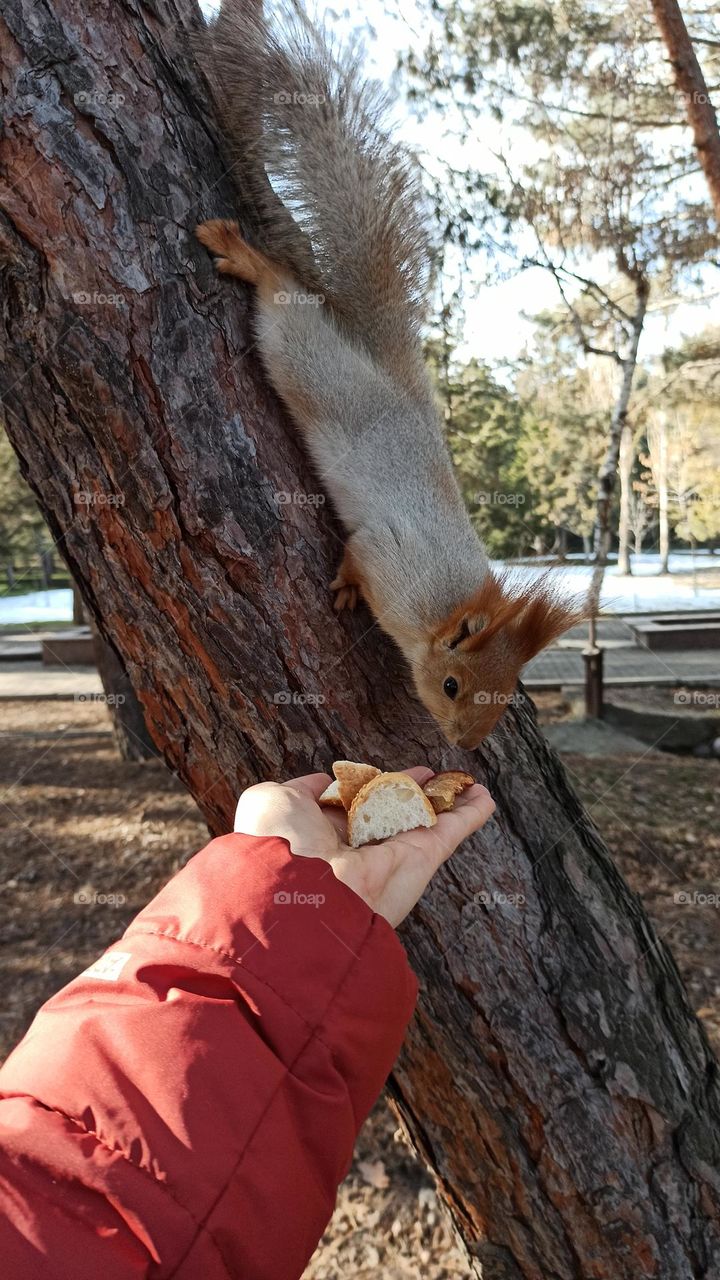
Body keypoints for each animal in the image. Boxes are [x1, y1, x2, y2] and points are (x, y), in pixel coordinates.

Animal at [196, 1, 587, 749]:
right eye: (453, 685)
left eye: (507, 694)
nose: (464, 745)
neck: (444, 608)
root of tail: (392, 378)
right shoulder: (391, 561)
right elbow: (359, 554)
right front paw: (346, 585)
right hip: (308, 363)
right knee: (283, 302)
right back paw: (247, 258)